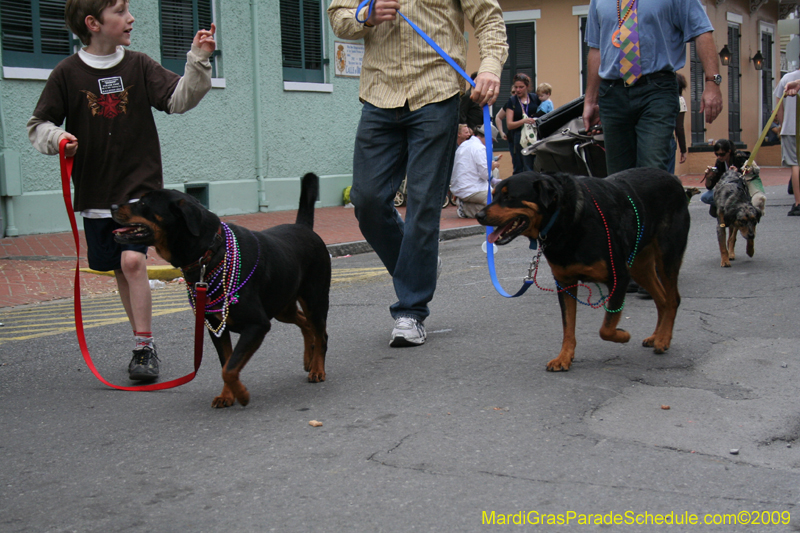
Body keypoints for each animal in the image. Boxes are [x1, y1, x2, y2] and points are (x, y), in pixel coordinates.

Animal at [111, 172, 330, 406]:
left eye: (144, 202)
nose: (112, 205)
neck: (211, 252)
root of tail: (303, 227)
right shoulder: (216, 327)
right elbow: (225, 362)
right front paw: (227, 395)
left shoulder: (257, 324)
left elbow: (230, 368)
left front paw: (241, 394)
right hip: (282, 304)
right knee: (305, 323)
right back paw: (309, 357)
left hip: (314, 298)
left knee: (321, 333)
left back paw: (317, 368)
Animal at [478, 168, 692, 372]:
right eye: (494, 195)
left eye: (509, 197)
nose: (479, 216)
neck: (564, 220)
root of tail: (673, 178)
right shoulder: (565, 283)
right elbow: (568, 326)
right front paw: (564, 357)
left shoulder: (619, 277)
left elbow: (606, 328)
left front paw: (622, 335)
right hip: (640, 266)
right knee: (662, 299)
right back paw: (657, 335)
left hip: (667, 255)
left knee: (672, 299)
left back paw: (663, 339)